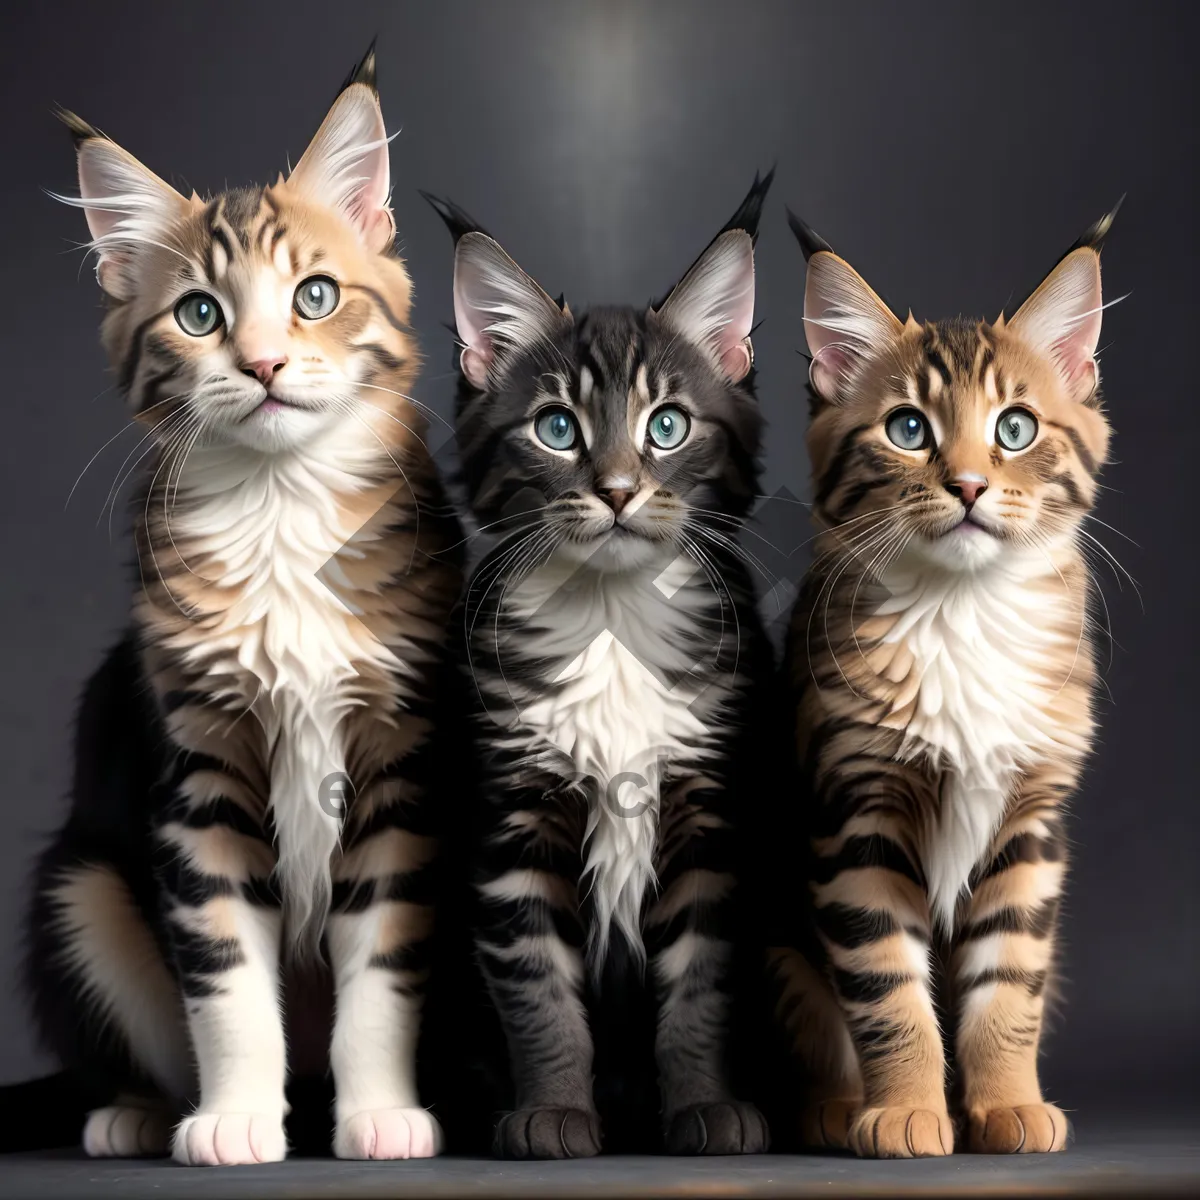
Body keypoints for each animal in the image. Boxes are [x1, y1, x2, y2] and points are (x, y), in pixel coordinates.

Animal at [29, 51, 458, 1166]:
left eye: (314, 296)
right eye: (199, 315)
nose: (262, 363)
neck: (281, 510)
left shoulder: (393, 764)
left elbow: (382, 970)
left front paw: (380, 1114)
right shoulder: (199, 768)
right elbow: (224, 979)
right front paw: (231, 1120)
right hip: (82, 887)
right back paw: (139, 1114)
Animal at [427, 174, 772, 1156]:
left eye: (668, 426)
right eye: (555, 428)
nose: (617, 490)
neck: (612, 623)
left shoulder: (709, 821)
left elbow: (700, 988)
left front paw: (705, 1107)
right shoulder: (514, 821)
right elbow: (538, 991)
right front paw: (552, 1110)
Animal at [772, 211, 1118, 1156]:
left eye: (1015, 429)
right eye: (907, 429)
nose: (966, 484)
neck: (962, 612)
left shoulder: (1030, 826)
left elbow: (1009, 987)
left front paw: (1005, 1103)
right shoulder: (855, 818)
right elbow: (886, 989)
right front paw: (904, 1109)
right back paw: (835, 1105)